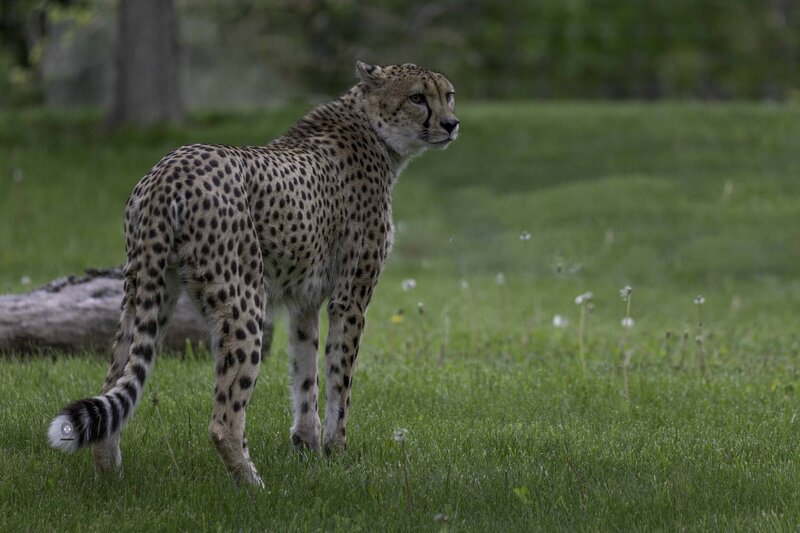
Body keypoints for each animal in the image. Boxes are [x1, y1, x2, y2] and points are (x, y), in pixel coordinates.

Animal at [47, 61, 459, 486]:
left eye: (449, 95)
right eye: (417, 97)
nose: (451, 124)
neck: (372, 129)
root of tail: (169, 168)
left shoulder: (305, 301)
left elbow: (305, 374)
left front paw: (308, 448)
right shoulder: (349, 301)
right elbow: (339, 381)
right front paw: (337, 453)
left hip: (146, 292)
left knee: (115, 380)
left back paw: (111, 478)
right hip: (244, 301)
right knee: (223, 419)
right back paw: (254, 487)